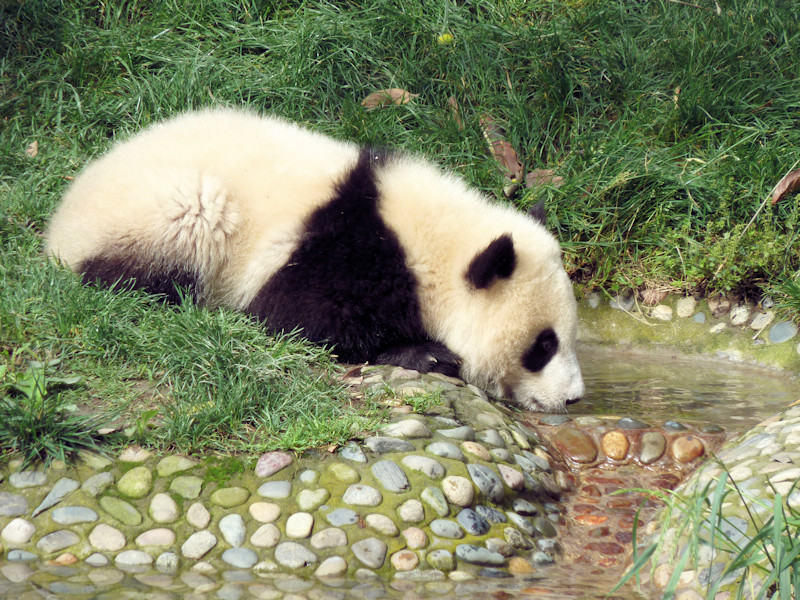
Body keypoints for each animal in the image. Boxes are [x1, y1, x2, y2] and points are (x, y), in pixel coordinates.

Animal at [45, 108, 584, 413]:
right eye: (543, 345)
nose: (574, 398)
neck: (432, 243)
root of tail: (59, 225)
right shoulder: (339, 249)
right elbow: (300, 318)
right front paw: (428, 353)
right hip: (160, 213)